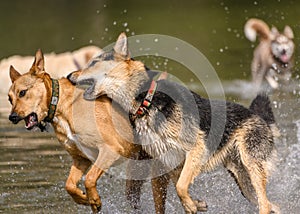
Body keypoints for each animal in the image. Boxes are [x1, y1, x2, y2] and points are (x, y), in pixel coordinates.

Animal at [6, 49, 169, 212]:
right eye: (9, 99)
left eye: (22, 92)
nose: (12, 117)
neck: (62, 106)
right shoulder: (80, 159)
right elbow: (69, 185)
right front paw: (84, 198)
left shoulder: (110, 150)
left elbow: (90, 178)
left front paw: (94, 200)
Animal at [68, 32, 282, 213]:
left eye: (93, 62)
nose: (69, 76)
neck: (146, 100)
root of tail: (260, 117)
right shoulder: (170, 161)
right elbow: (180, 187)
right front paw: (195, 204)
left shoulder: (195, 148)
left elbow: (180, 187)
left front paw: (191, 205)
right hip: (244, 182)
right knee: (271, 205)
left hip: (252, 167)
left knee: (265, 204)